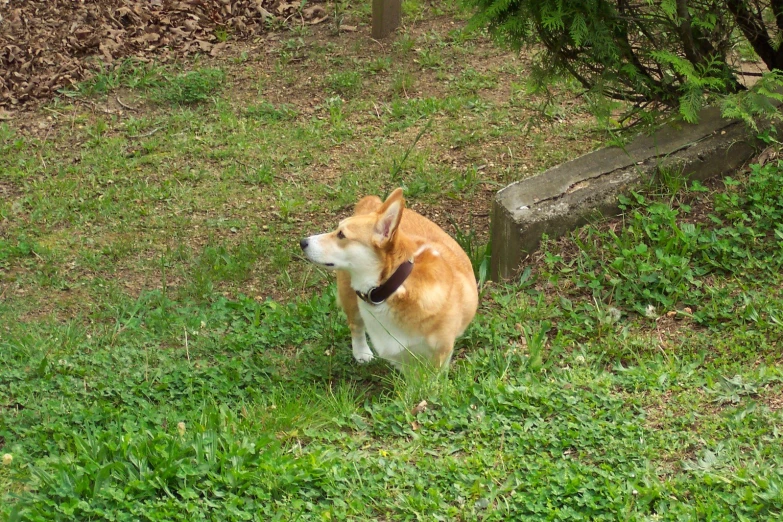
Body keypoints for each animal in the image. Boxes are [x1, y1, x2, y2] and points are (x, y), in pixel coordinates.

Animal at [300, 187, 478, 366]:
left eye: (341, 235)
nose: (302, 242)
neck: (395, 286)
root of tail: (374, 203)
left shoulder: (439, 355)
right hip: (348, 294)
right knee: (356, 325)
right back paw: (362, 353)